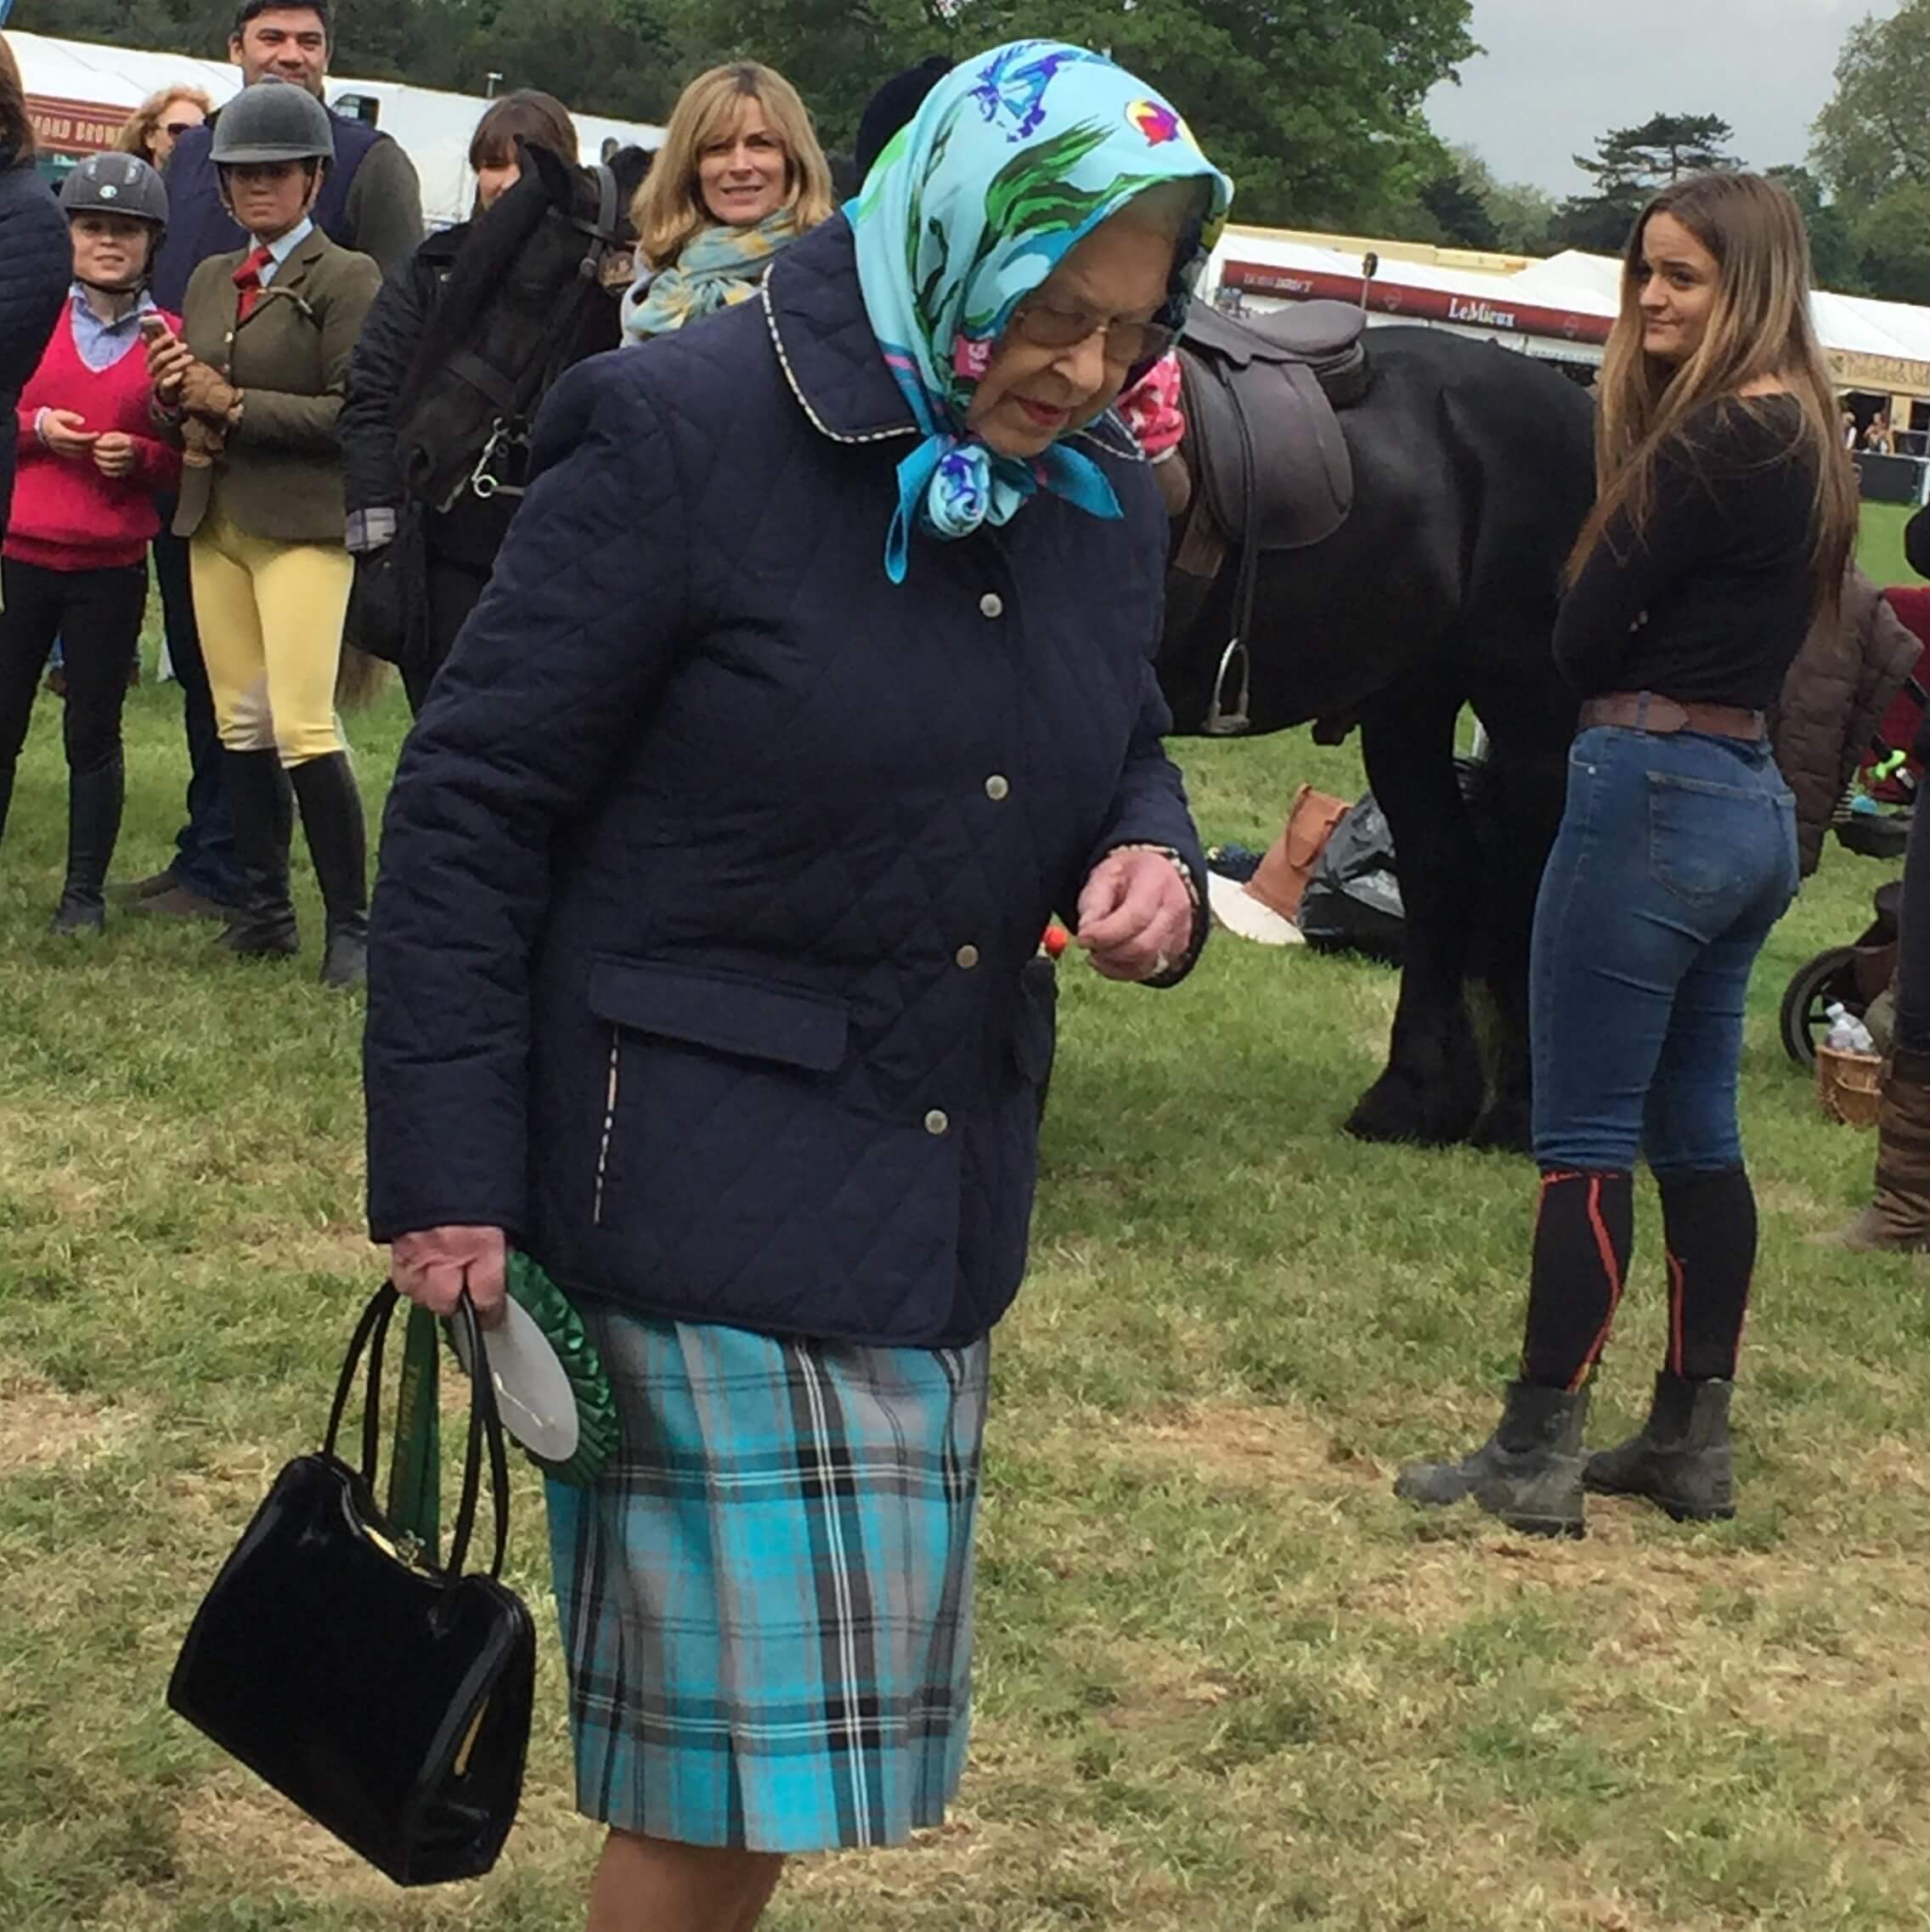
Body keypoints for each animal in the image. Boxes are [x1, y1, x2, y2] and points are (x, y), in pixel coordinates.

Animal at [1159, 313, 1600, 1144]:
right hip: (1409, 703)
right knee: (1443, 866)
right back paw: (1414, 1098)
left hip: (1530, 711)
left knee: (1529, 881)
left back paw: (1520, 1112)